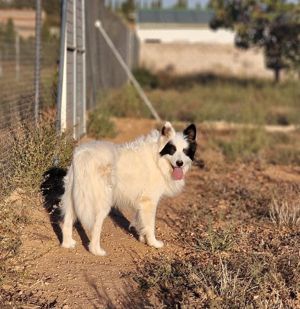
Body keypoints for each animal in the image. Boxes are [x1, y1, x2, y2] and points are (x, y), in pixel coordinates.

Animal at [61, 121, 197, 254]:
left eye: (185, 151)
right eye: (172, 150)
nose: (180, 163)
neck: (158, 159)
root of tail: (83, 155)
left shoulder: (141, 203)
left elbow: (141, 222)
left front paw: (143, 238)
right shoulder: (149, 202)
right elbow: (150, 225)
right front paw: (153, 243)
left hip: (74, 197)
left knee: (66, 222)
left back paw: (68, 244)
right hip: (100, 204)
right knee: (95, 227)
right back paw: (97, 251)